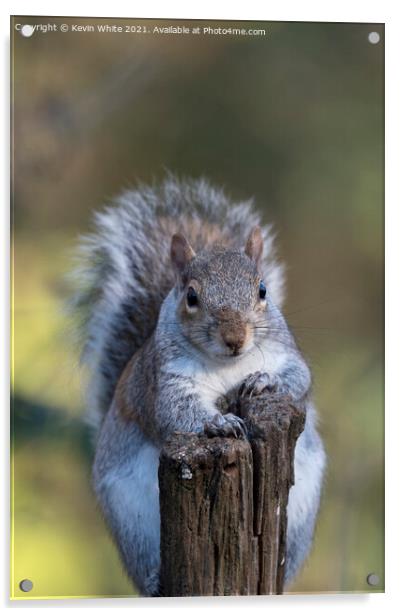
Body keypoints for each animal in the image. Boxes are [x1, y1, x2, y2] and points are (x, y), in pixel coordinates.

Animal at [69, 174, 324, 596]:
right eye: (191, 296)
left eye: (262, 290)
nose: (235, 338)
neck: (227, 365)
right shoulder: (166, 381)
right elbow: (176, 412)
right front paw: (221, 423)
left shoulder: (288, 354)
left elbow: (298, 380)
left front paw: (262, 381)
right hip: (132, 521)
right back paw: (155, 579)